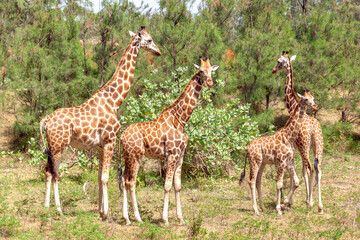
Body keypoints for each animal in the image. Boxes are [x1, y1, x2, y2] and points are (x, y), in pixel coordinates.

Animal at [38, 26, 161, 219]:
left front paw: (101, 210)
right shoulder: (110, 140)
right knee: (54, 172)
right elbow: (105, 177)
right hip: (59, 145)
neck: (114, 100)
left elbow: (98, 176)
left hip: (52, 146)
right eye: (149, 40)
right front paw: (107, 213)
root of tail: (45, 120)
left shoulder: (101, 144)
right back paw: (58, 209)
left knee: (47, 170)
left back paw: (46, 206)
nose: (158, 51)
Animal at [119, 56, 218, 225]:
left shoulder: (180, 155)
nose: (210, 82)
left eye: (211, 70)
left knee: (125, 179)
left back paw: (126, 218)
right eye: (200, 71)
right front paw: (165, 219)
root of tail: (121, 136)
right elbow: (167, 185)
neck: (181, 120)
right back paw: (138, 218)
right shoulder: (172, 153)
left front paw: (181, 218)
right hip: (136, 156)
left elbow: (177, 185)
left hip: (128, 156)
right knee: (130, 182)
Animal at [272, 51, 324, 214]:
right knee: (318, 169)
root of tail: (314, 130)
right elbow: (300, 171)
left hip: (304, 146)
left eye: (279, 61)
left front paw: (291, 201)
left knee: (310, 168)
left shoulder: (295, 147)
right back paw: (319, 205)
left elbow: (298, 171)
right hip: (318, 146)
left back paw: (311, 202)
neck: (293, 105)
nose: (273, 70)